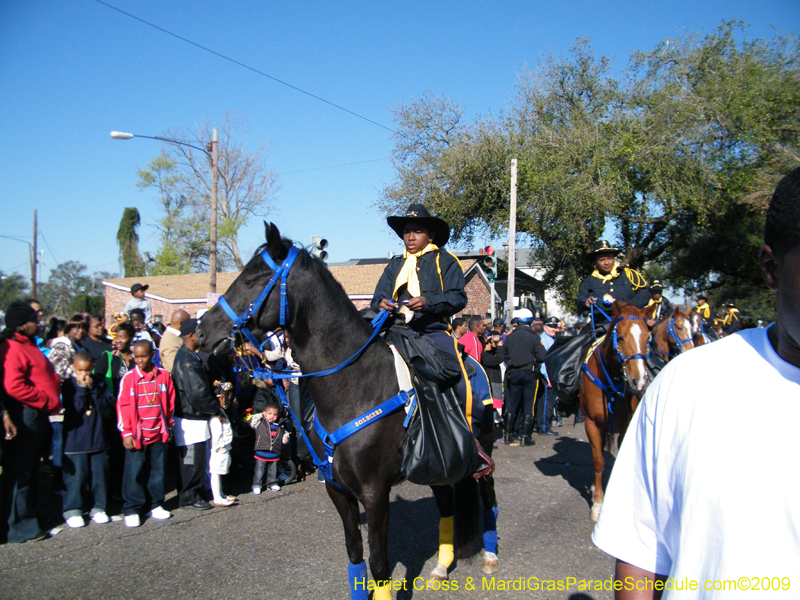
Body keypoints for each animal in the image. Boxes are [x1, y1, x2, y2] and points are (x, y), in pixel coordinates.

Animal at [197, 223, 496, 596]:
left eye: (251, 279)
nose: (202, 332)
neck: (354, 386)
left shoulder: (375, 492)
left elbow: (379, 564)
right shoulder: (337, 489)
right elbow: (354, 554)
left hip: (481, 452)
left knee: (489, 499)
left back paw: (490, 556)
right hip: (437, 465)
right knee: (445, 505)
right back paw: (442, 566)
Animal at [580, 300, 656, 520]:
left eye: (648, 338)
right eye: (620, 337)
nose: (639, 381)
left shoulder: (626, 424)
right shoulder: (591, 422)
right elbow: (598, 461)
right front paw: (597, 504)